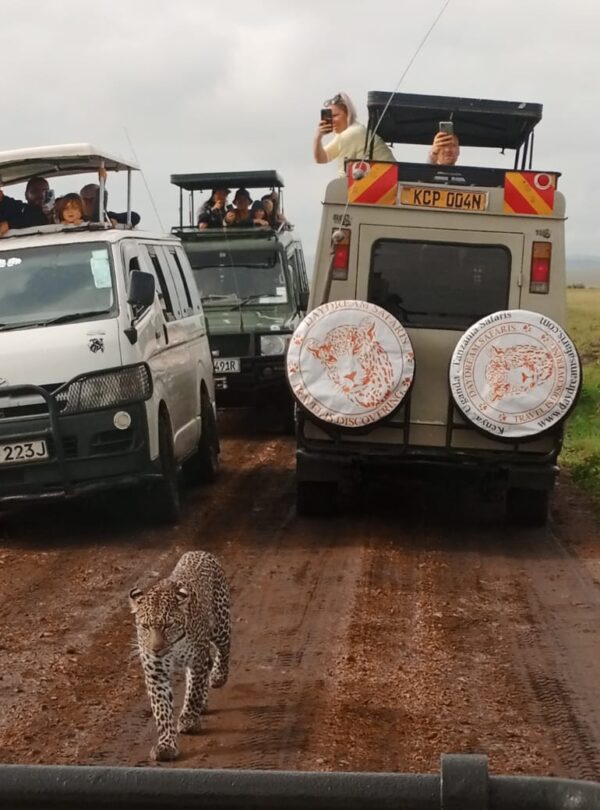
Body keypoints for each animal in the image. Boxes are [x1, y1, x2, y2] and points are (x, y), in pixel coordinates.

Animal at [129, 550, 231, 762]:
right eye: (145, 626)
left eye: (168, 625)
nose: (156, 649)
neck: (173, 649)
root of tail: (198, 552)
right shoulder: (156, 673)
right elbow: (162, 709)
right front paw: (166, 745)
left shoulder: (197, 660)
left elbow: (193, 692)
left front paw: (189, 720)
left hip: (220, 624)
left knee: (224, 649)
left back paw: (218, 677)